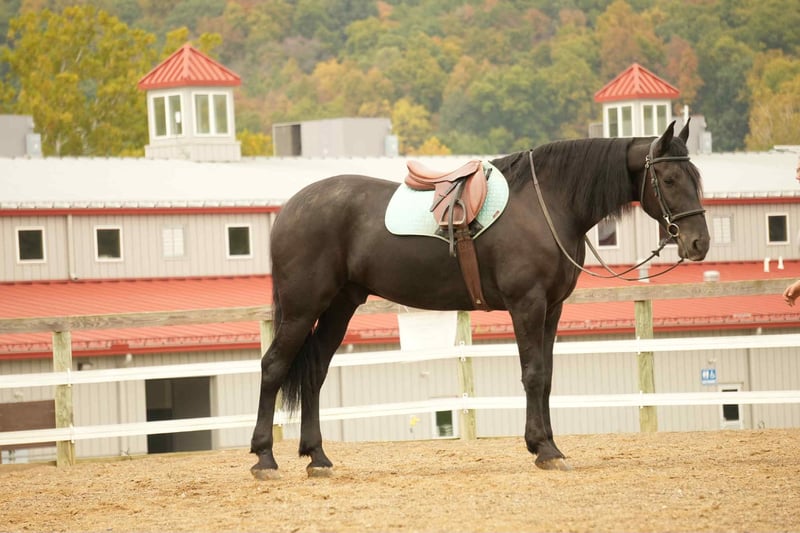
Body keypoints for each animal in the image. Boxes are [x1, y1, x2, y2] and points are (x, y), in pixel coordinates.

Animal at [249, 121, 710, 479]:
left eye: (696, 178)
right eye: (670, 180)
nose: (698, 242)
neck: (545, 205)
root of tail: (290, 208)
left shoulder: (552, 309)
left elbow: (547, 376)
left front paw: (550, 446)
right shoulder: (527, 304)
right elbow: (533, 374)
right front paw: (543, 448)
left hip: (339, 307)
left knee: (314, 373)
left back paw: (317, 457)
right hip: (302, 309)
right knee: (273, 367)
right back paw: (264, 457)